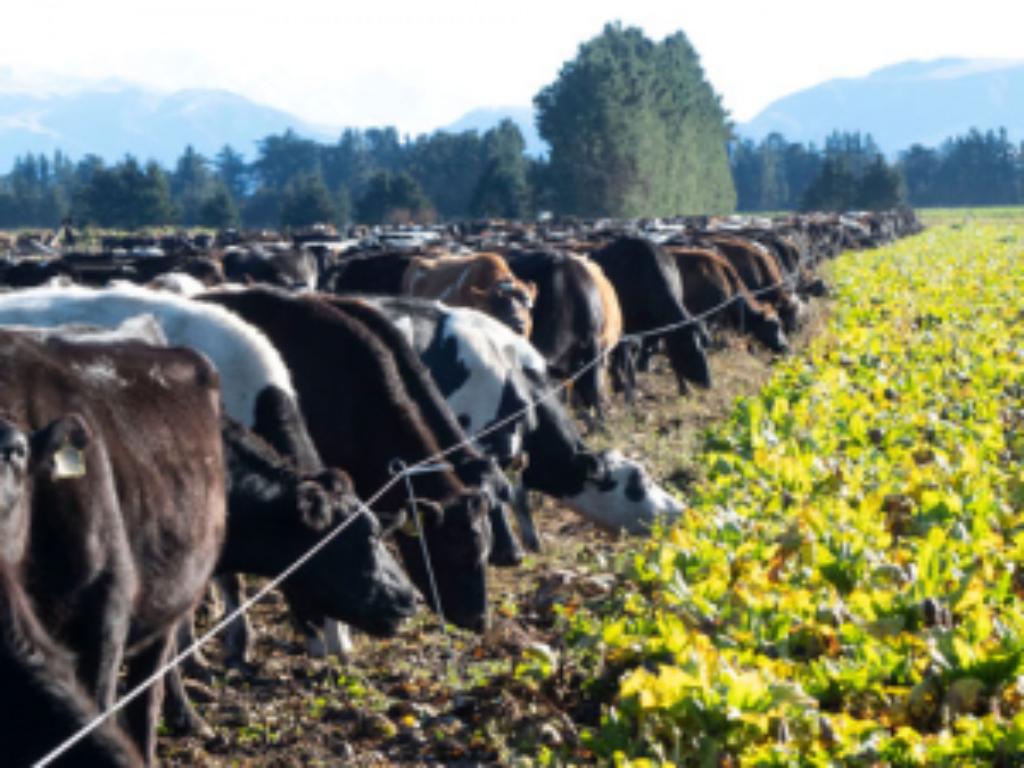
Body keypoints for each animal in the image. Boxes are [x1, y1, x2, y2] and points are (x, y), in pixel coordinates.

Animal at [590, 237, 711, 395]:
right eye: (688, 349)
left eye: (705, 346)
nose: (708, 382)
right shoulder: (625, 329)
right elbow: (626, 354)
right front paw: (627, 385)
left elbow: (659, 350)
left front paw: (684, 387)